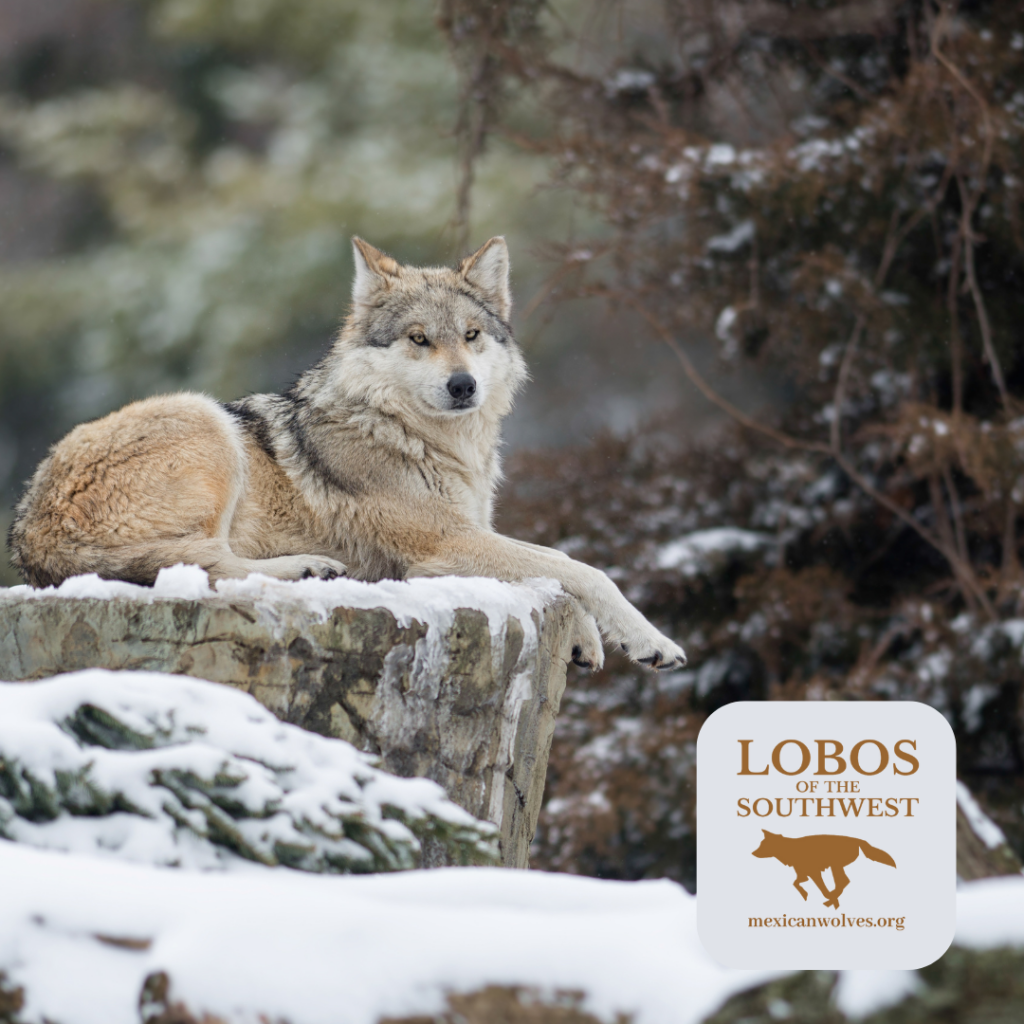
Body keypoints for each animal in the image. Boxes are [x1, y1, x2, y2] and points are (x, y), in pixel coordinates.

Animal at [8, 236, 688, 675]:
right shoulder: (442, 542)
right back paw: (309, 569)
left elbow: (550, 570)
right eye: (419, 339)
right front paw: (650, 640)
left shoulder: (460, 540)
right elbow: (576, 566)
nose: (463, 385)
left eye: (471, 336)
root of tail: (27, 532)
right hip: (205, 420)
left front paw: (586, 641)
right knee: (199, 564)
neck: (416, 436)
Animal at [753, 827, 897, 909]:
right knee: (844, 882)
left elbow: (822, 890)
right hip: (836, 866)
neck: (790, 849)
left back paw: (831, 900)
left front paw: (830, 899)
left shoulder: (815, 873)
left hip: (835, 865)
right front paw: (805, 895)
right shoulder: (804, 874)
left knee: (843, 881)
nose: (753, 853)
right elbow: (796, 883)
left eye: (763, 845)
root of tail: (858, 840)